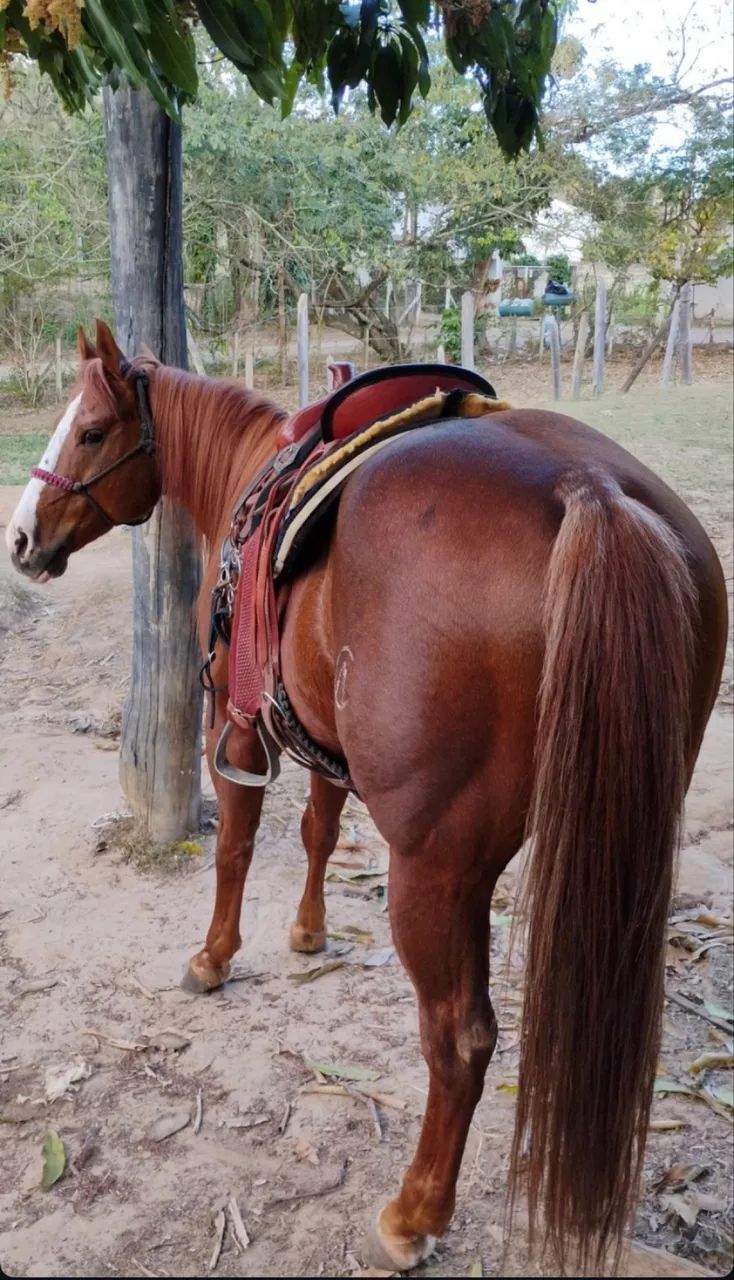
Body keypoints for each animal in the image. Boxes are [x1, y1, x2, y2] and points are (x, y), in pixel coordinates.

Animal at [6, 320, 727, 1274]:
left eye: (89, 432)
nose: (21, 540)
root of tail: (591, 490)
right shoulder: (320, 735)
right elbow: (317, 829)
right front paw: (309, 933)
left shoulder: (234, 724)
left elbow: (234, 848)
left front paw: (214, 957)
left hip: (435, 868)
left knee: (461, 1039)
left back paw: (413, 1214)